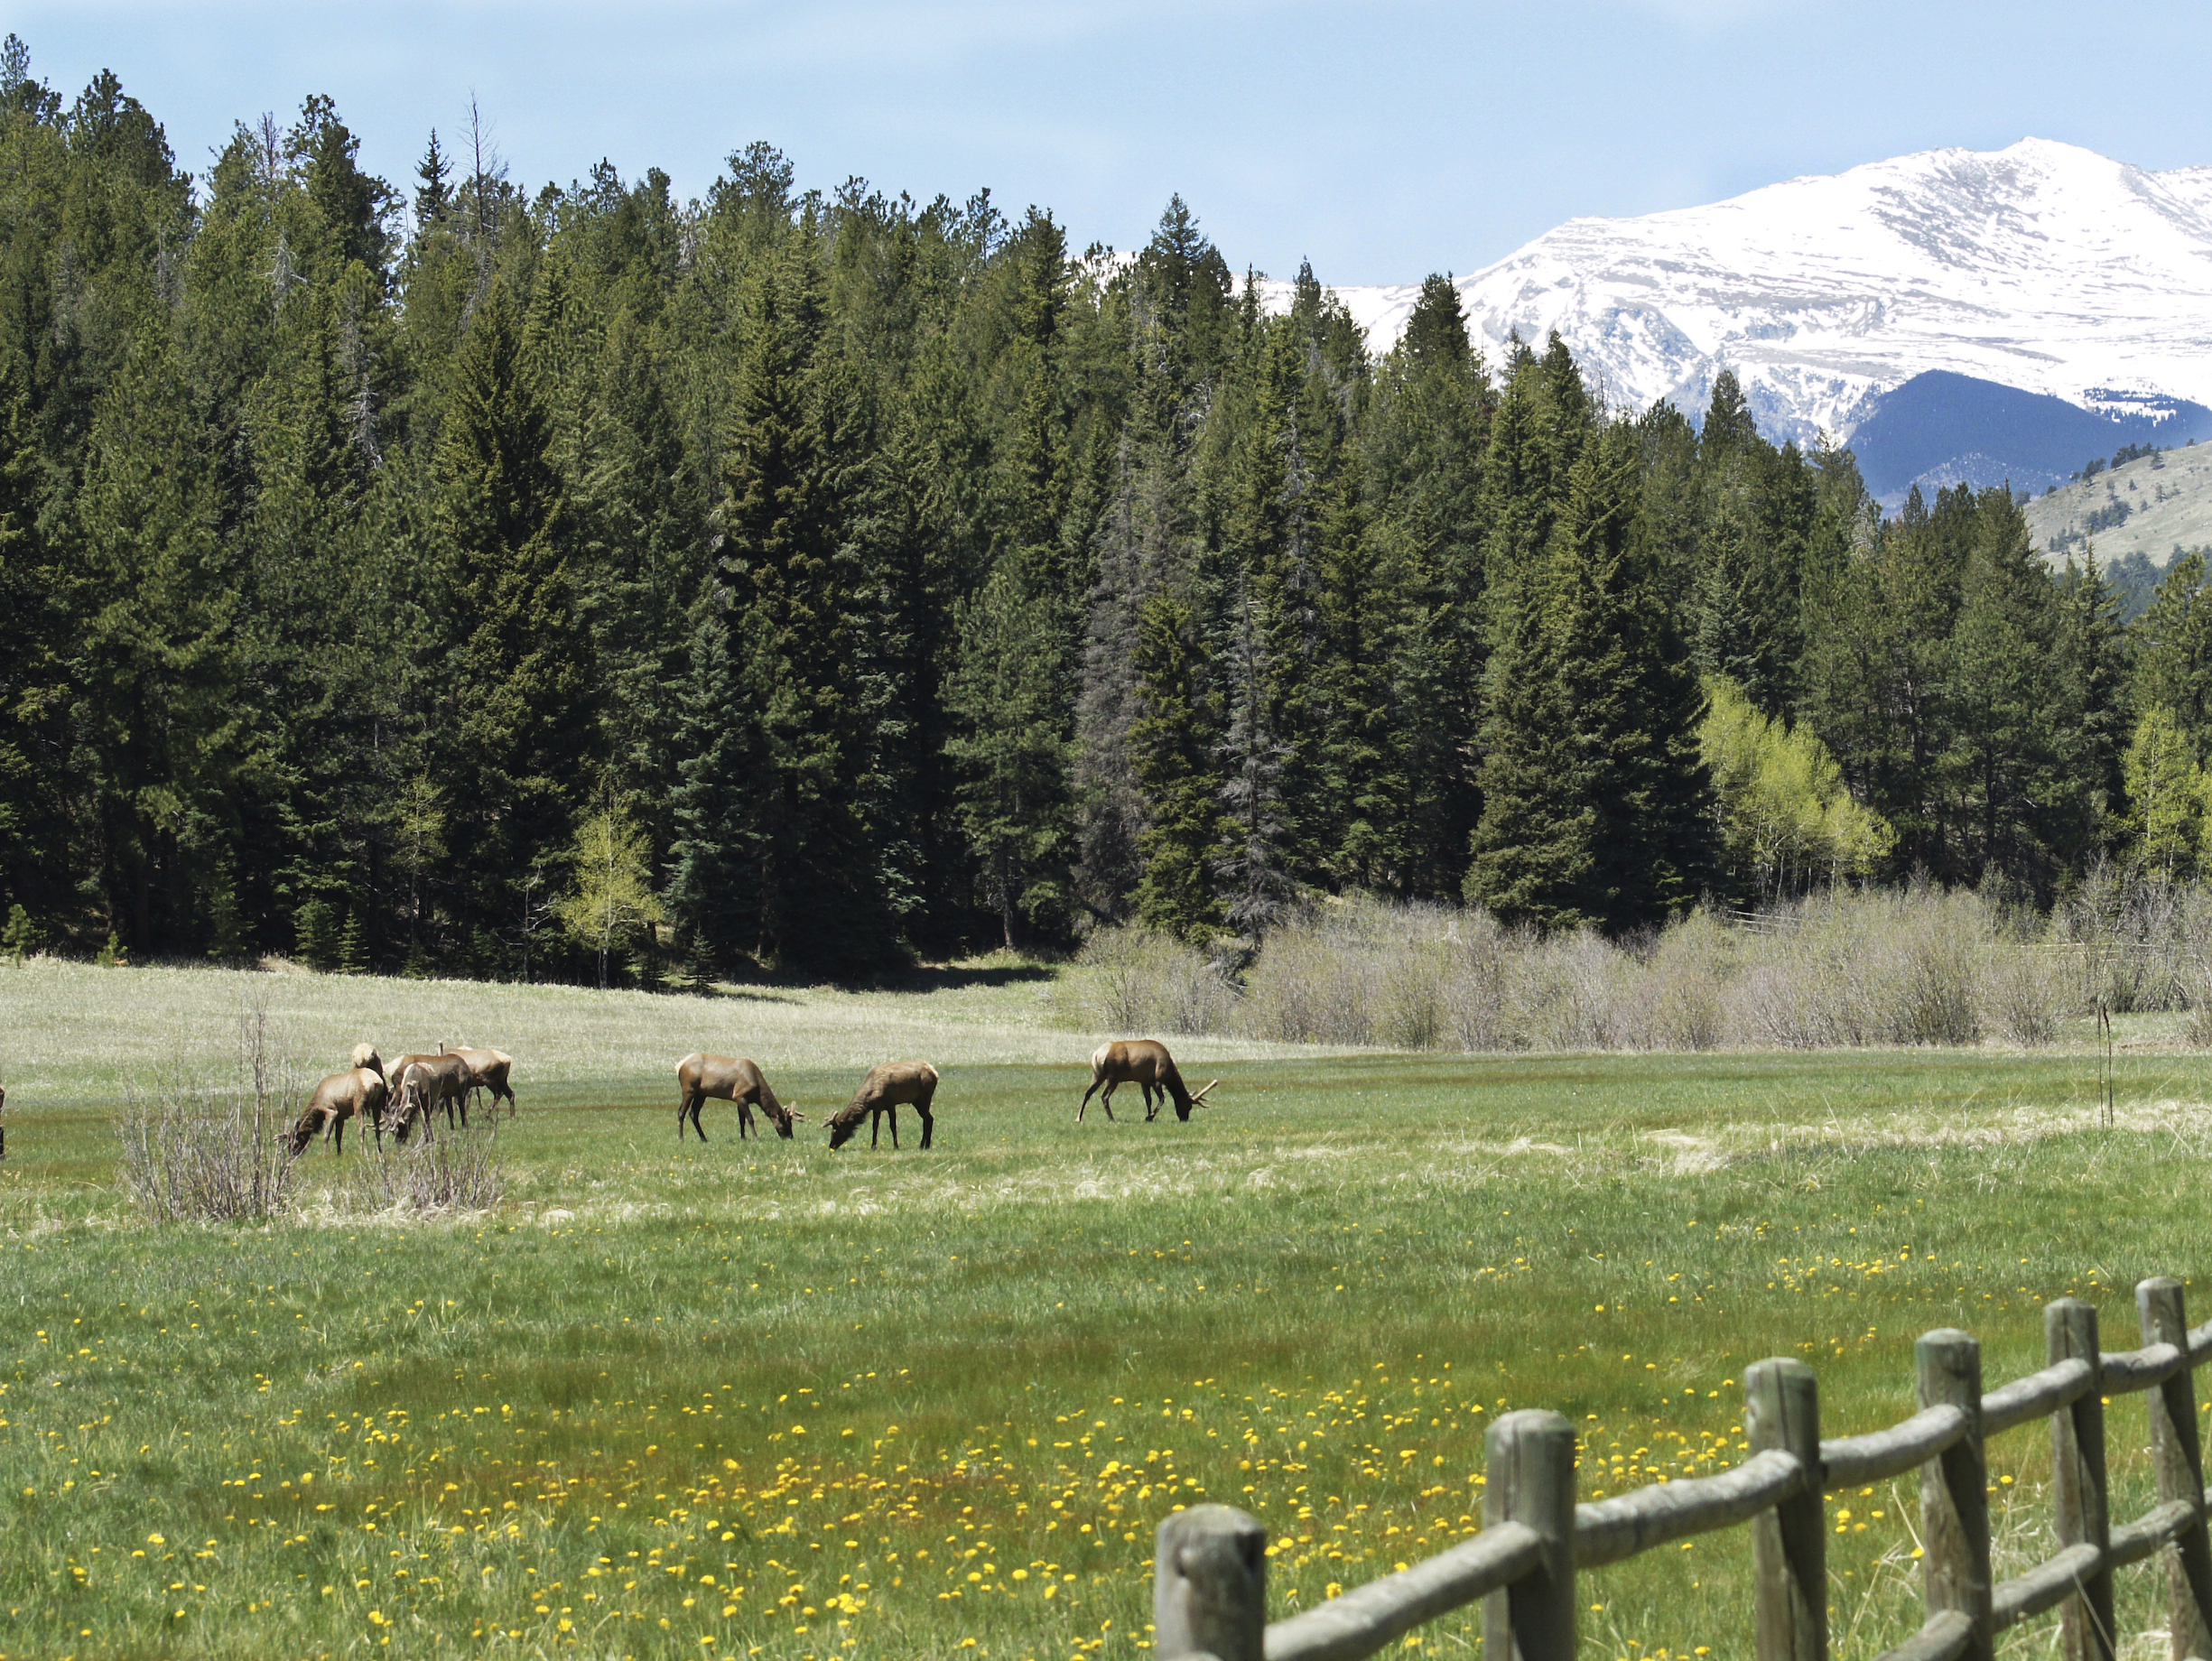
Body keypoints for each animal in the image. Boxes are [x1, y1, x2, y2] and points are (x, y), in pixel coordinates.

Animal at [675, 1054, 805, 1142]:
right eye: (787, 1123)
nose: (791, 1137)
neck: (757, 1094)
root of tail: (679, 1066)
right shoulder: (740, 1095)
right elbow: (750, 1118)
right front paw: (756, 1137)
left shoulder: (739, 1099)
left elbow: (741, 1120)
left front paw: (743, 1137)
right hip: (689, 1089)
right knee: (681, 1112)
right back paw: (681, 1139)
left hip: (701, 1094)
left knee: (693, 1113)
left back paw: (704, 1138)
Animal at [1077, 1040, 1217, 1123]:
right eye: (1188, 1105)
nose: (1184, 1119)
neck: (1169, 1072)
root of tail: (1097, 1054)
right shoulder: (1156, 1080)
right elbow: (1162, 1099)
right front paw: (1150, 1116)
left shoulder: (1144, 1082)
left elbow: (1148, 1100)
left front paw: (1149, 1116)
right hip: (1113, 1076)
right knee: (1104, 1096)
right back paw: (1112, 1118)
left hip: (1098, 1074)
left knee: (1087, 1093)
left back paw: (1078, 1118)